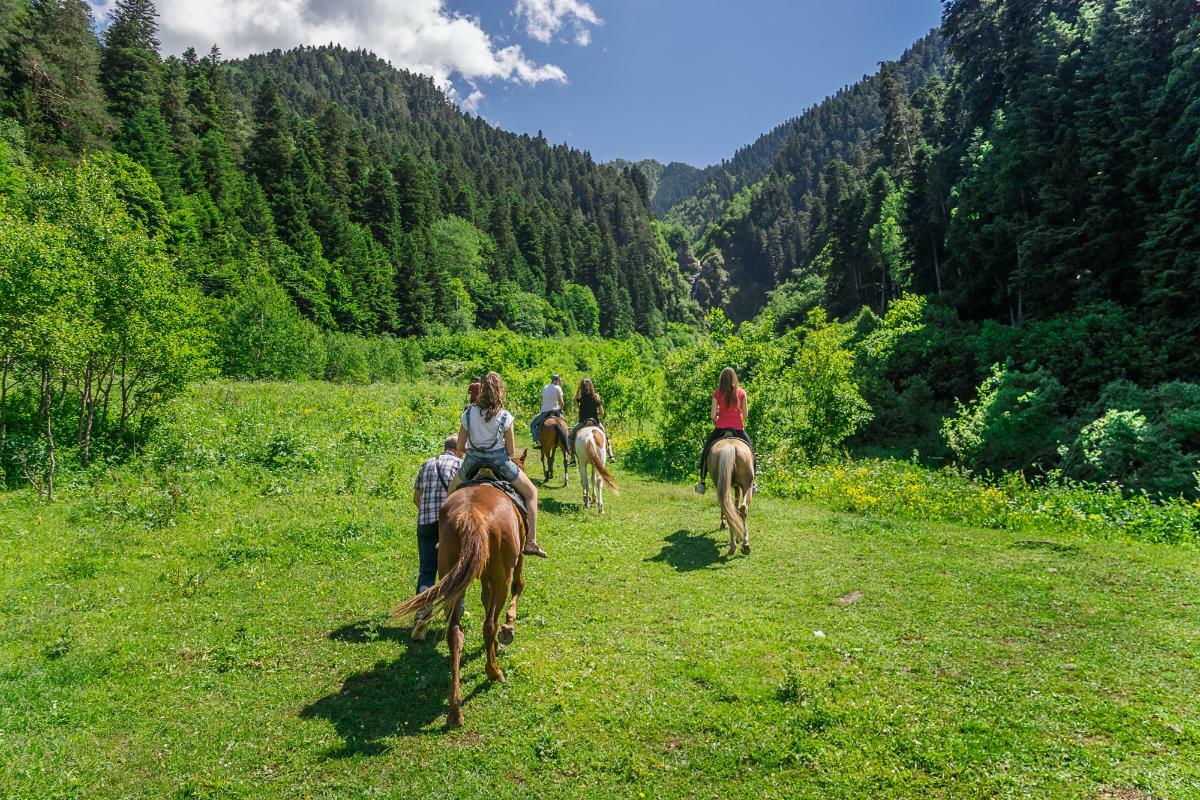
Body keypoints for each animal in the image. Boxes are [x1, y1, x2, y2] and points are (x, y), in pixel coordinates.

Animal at [391, 450, 528, 734]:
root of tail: (471, 514)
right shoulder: (516, 560)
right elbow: (517, 588)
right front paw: (508, 629)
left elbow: (486, 600)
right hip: (501, 574)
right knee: (489, 624)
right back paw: (494, 671)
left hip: (452, 578)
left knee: (454, 633)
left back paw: (455, 710)